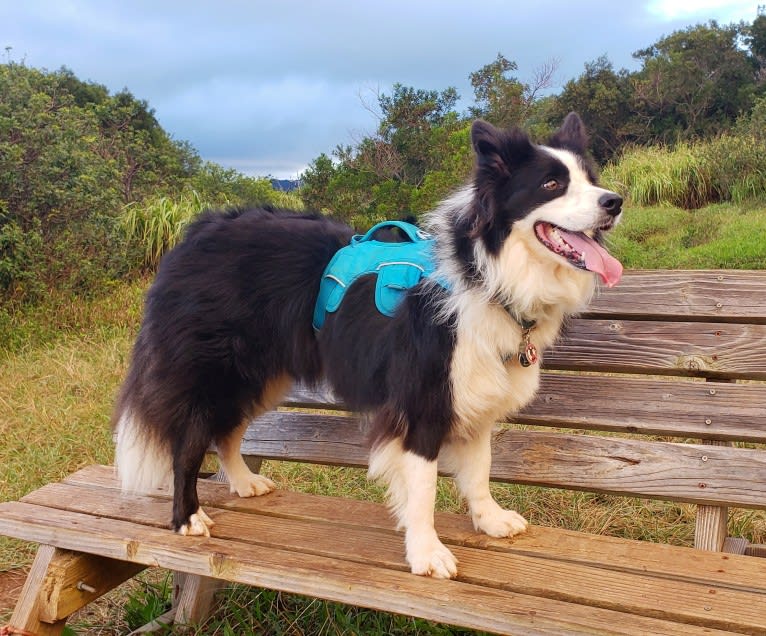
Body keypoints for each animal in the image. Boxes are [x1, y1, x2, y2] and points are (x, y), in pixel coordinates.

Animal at [112, 112, 624, 580]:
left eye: (591, 180)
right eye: (552, 183)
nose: (615, 202)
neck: (486, 274)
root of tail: (198, 231)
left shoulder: (475, 394)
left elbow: (479, 469)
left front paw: (489, 519)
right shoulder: (422, 401)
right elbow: (423, 488)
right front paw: (426, 553)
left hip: (261, 373)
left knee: (227, 430)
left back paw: (242, 482)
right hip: (214, 371)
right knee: (190, 440)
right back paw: (187, 517)